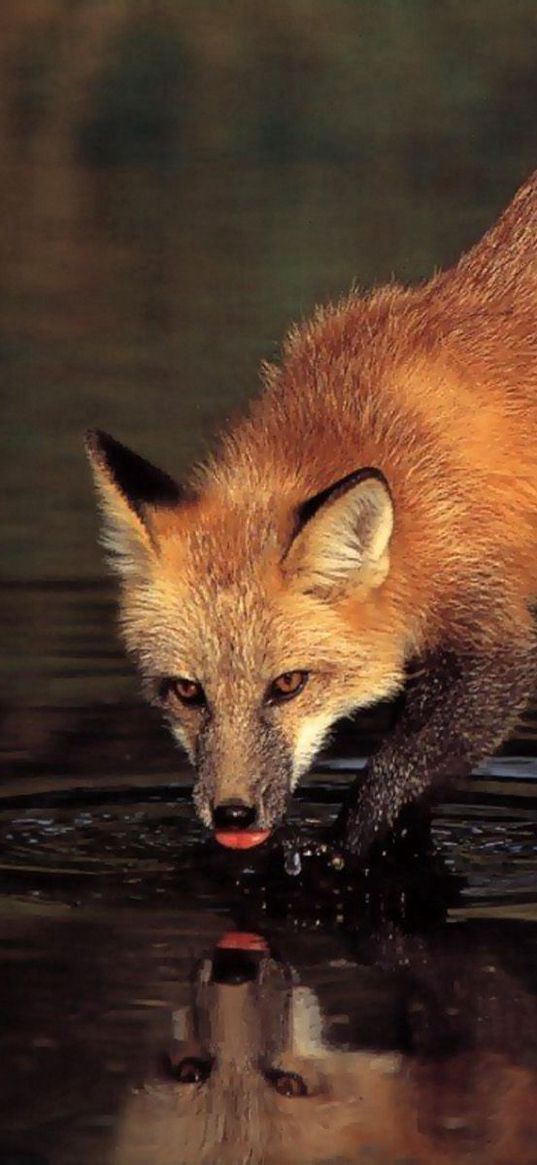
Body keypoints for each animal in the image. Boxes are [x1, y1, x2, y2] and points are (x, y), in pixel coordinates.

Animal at [85, 168, 537, 857]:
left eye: (288, 685)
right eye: (188, 692)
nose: (233, 815)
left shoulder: (491, 634)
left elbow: (401, 768)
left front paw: (339, 854)